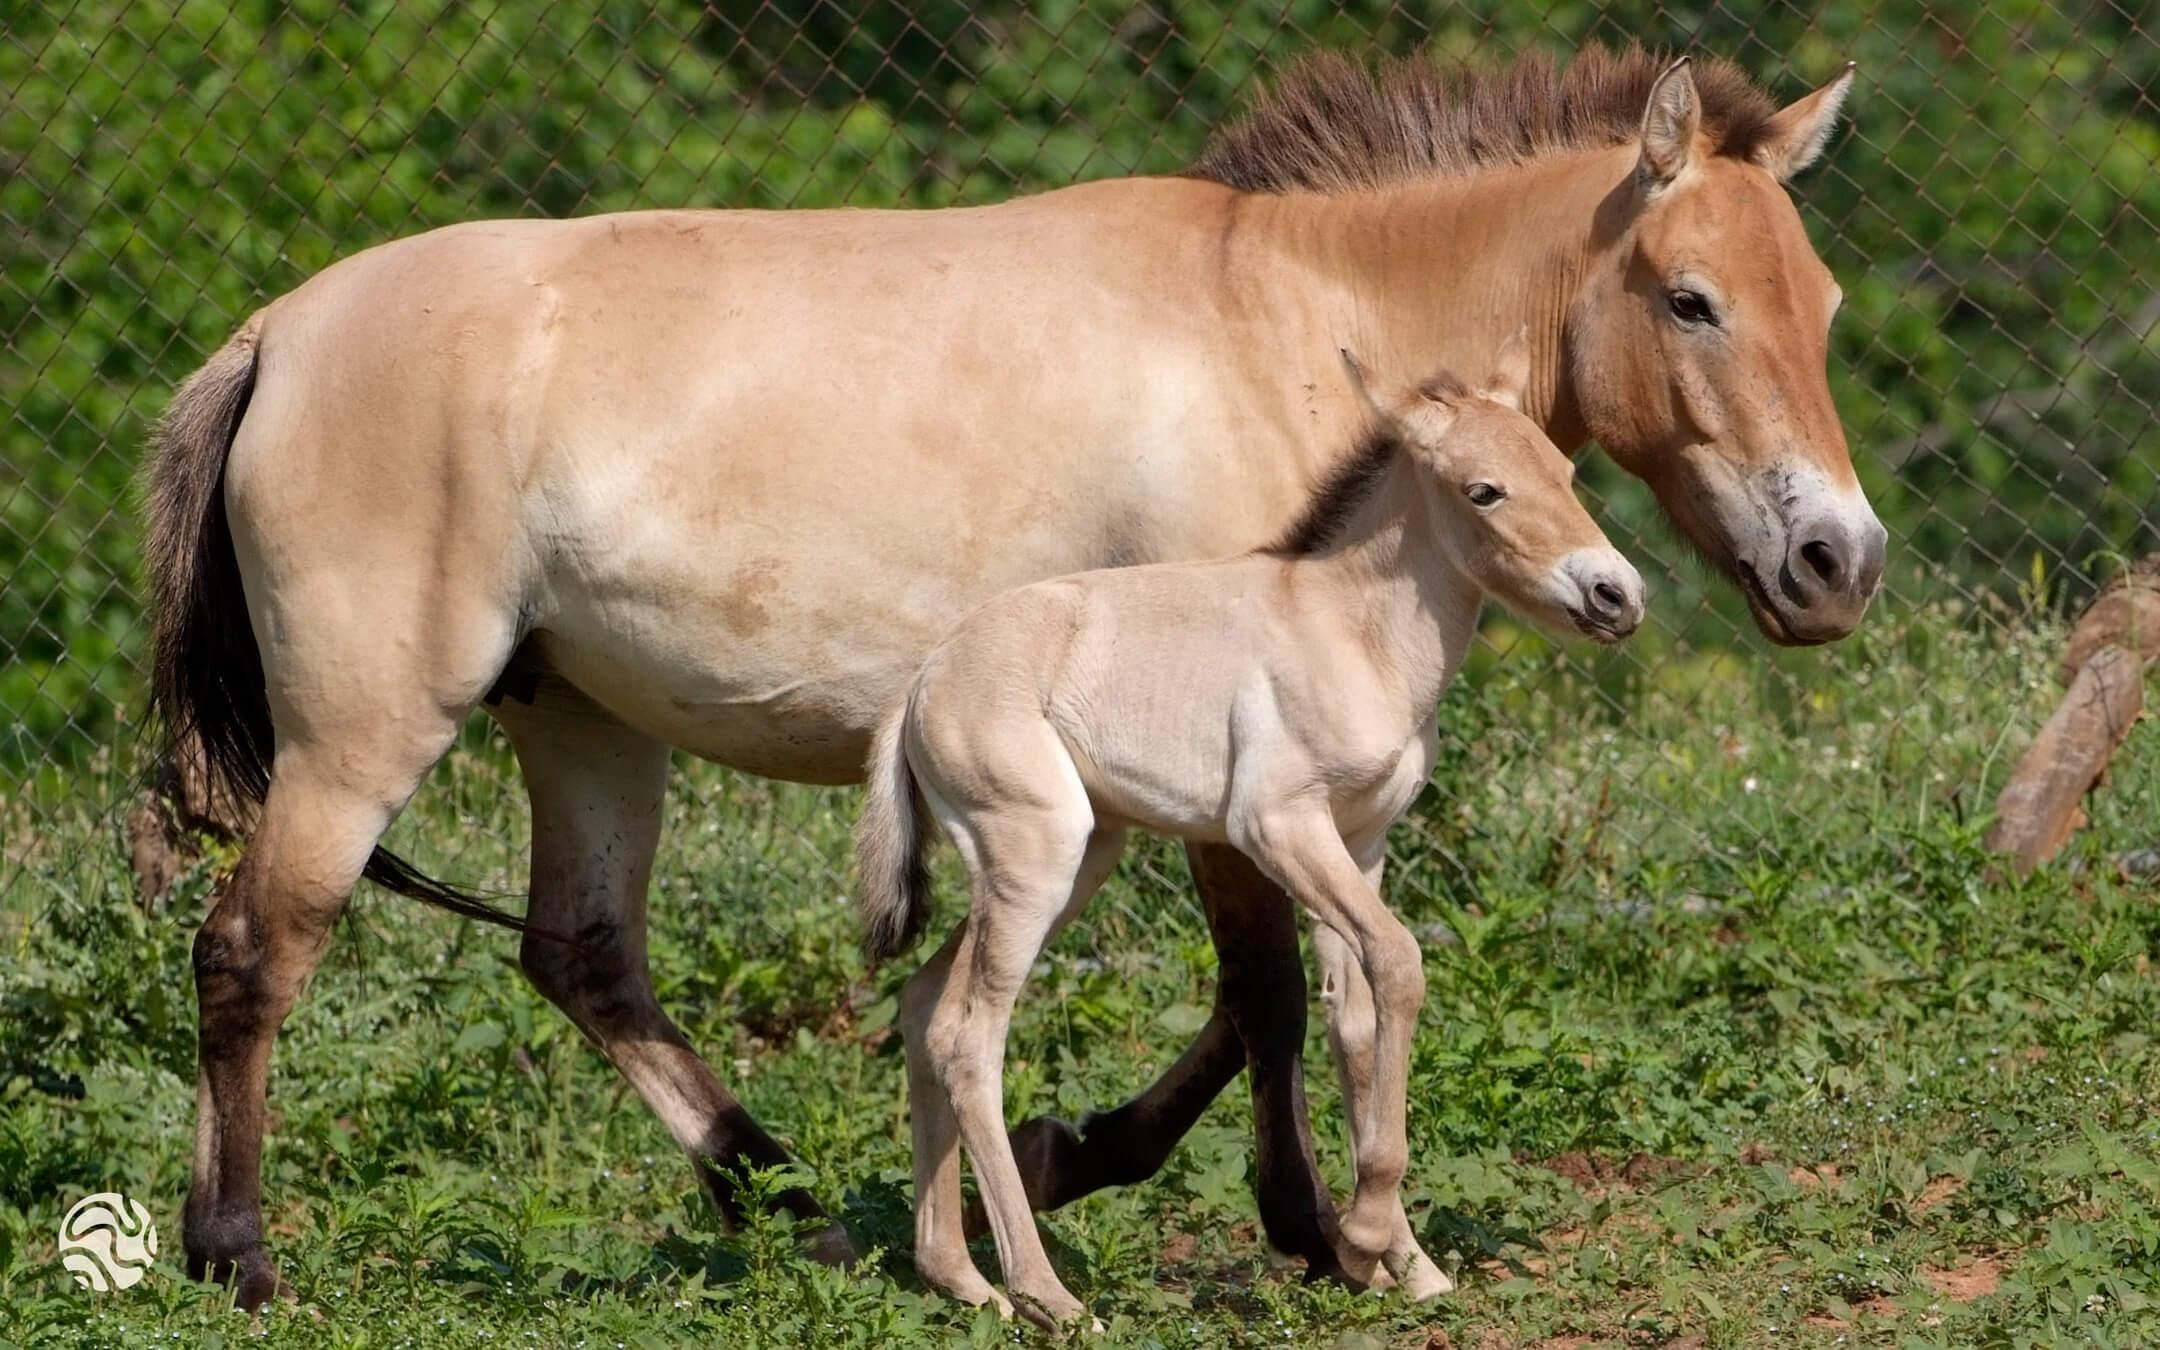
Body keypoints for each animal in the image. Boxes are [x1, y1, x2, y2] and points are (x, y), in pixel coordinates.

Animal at [855, 339, 1632, 1330]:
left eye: (1567, 473)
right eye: (1484, 490)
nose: (1617, 595)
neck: (1351, 632)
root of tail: (922, 682)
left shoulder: (1362, 843)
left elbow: (1357, 1018)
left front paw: (1403, 1263)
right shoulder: (1277, 827)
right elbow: (1401, 964)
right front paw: (1365, 1239)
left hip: (1074, 860)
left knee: (921, 1004)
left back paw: (960, 1279)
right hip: (1035, 858)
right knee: (966, 1035)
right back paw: (1049, 1296)